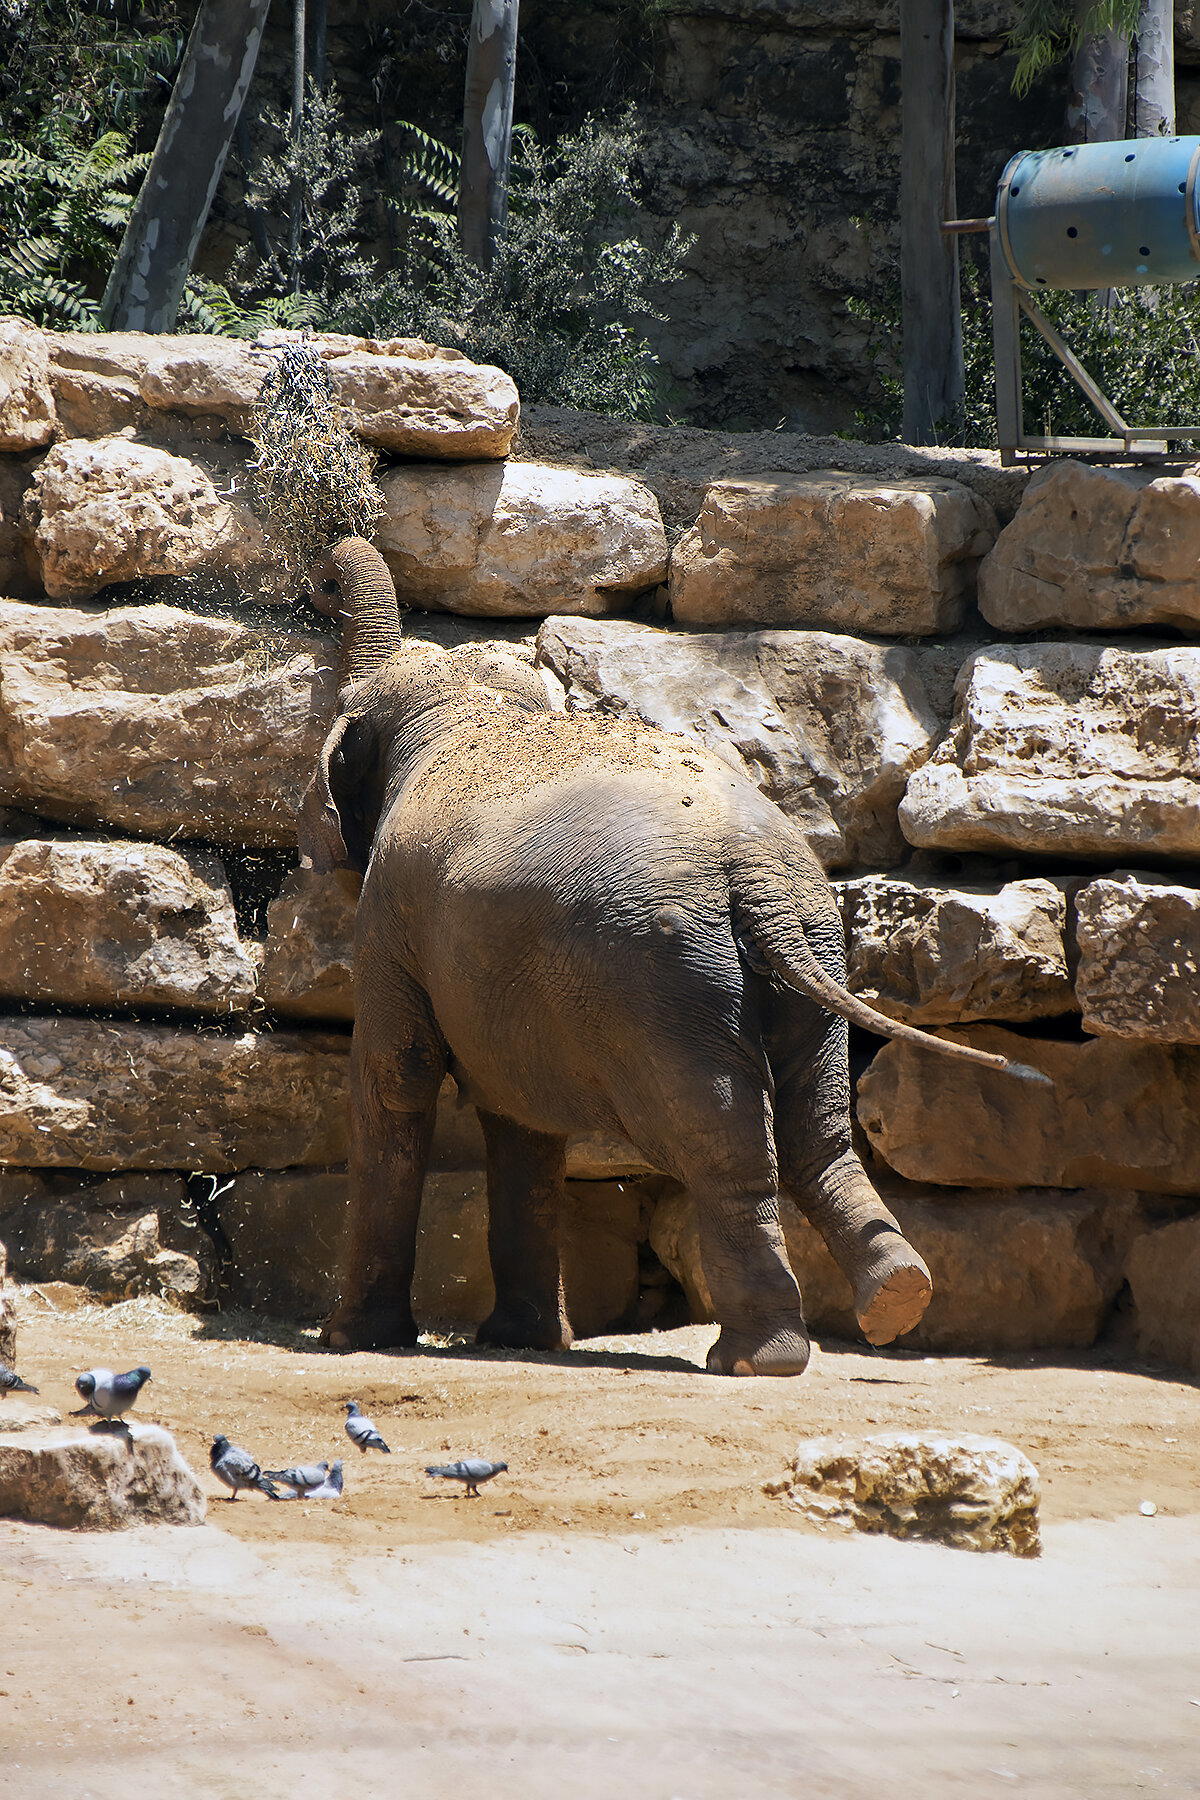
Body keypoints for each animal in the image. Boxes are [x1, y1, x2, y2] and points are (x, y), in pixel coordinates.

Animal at [302, 532, 1043, 1375]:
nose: (322, 574)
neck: (469, 712)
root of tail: (756, 876)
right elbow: (518, 1113)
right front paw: (522, 1340)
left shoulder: (391, 912)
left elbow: (395, 1082)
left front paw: (350, 1340)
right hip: (809, 953)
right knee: (815, 1131)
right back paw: (895, 1297)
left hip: (667, 982)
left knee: (718, 1138)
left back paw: (754, 1358)